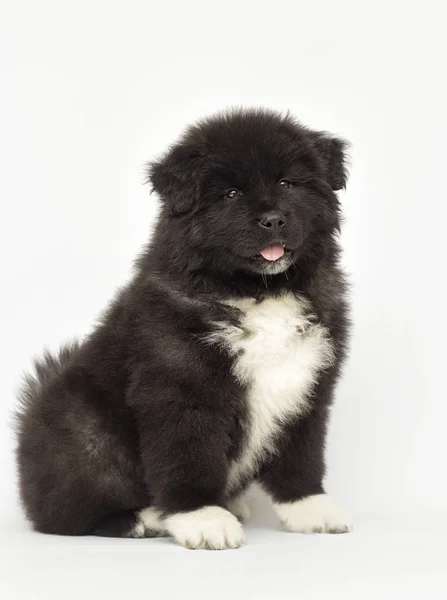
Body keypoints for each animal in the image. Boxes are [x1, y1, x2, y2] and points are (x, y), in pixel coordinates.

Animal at [15, 108, 354, 548]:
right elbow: (189, 458)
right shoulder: (182, 389)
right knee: (67, 514)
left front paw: (309, 507)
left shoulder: (308, 386)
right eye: (230, 194)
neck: (258, 293)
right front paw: (202, 518)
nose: (273, 219)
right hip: (87, 436)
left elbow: (302, 455)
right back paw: (145, 519)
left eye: (287, 183)